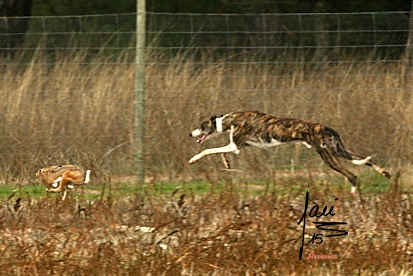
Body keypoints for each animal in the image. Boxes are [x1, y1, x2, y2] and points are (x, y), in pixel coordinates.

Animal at [189, 110, 390, 192]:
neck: (230, 120)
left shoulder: (235, 146)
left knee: (352, 175)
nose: (190, 134)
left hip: (328, 157)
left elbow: (209, 150)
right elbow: (221, 152)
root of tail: (328, 129)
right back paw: (384, 173)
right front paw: (226, 163)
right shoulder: (240, 146)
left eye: (200, 126)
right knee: (366, 160)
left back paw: (353, 195)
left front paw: (193, 159)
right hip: (340, 151)